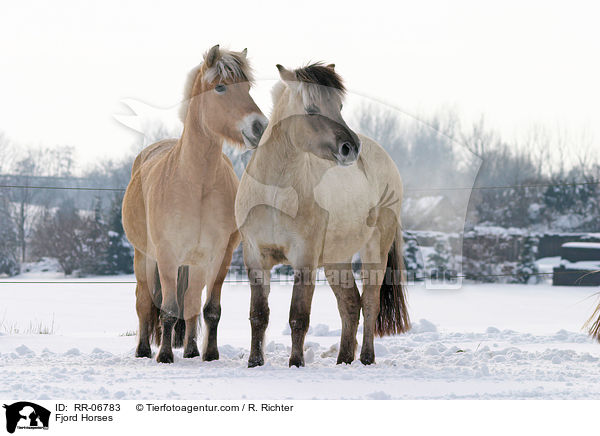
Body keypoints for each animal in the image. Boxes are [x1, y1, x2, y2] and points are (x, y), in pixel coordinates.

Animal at [122, 45, 268, 364]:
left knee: (189, 303)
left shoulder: (219, 257)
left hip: (195, 265)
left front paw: (209, 354)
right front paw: (164, 356)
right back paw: (143, 350)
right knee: (144, 303)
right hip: (144, 258)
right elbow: (167, 310)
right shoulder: (166, 256)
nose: (260, 127)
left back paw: (190, 350)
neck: (196, 183)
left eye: (248, 88)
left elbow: (209, 310)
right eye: (221, 87)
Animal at [237, 62, 410, 368]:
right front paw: (255, 362)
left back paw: (366, 358)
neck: (276, 194)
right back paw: (343, 359)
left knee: (370, 302)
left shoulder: (304, 259)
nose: (351, 148)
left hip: (374, 250)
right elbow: (258, 315)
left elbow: (298, 316)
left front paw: (296, 363)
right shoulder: (255, 257)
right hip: (336, 259)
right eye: (311, 109)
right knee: (350, 304)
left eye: (339, 106)